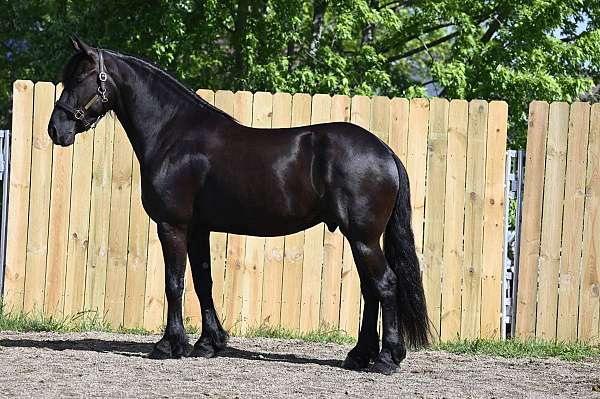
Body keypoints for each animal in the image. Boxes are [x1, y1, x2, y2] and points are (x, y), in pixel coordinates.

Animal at [49, 37, 428, 376]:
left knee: (385, 284)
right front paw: (209, 343)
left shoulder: (173, 225)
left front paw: (170, 345)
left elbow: (175, 283)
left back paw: (386, 358)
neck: (173, 134)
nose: (56, 129)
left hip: (363, 237)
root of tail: (385, 152)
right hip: (360, 238)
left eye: (80, 78)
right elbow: (202, 281)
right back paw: (359, 355)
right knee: (370, 289)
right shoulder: (198, 228)